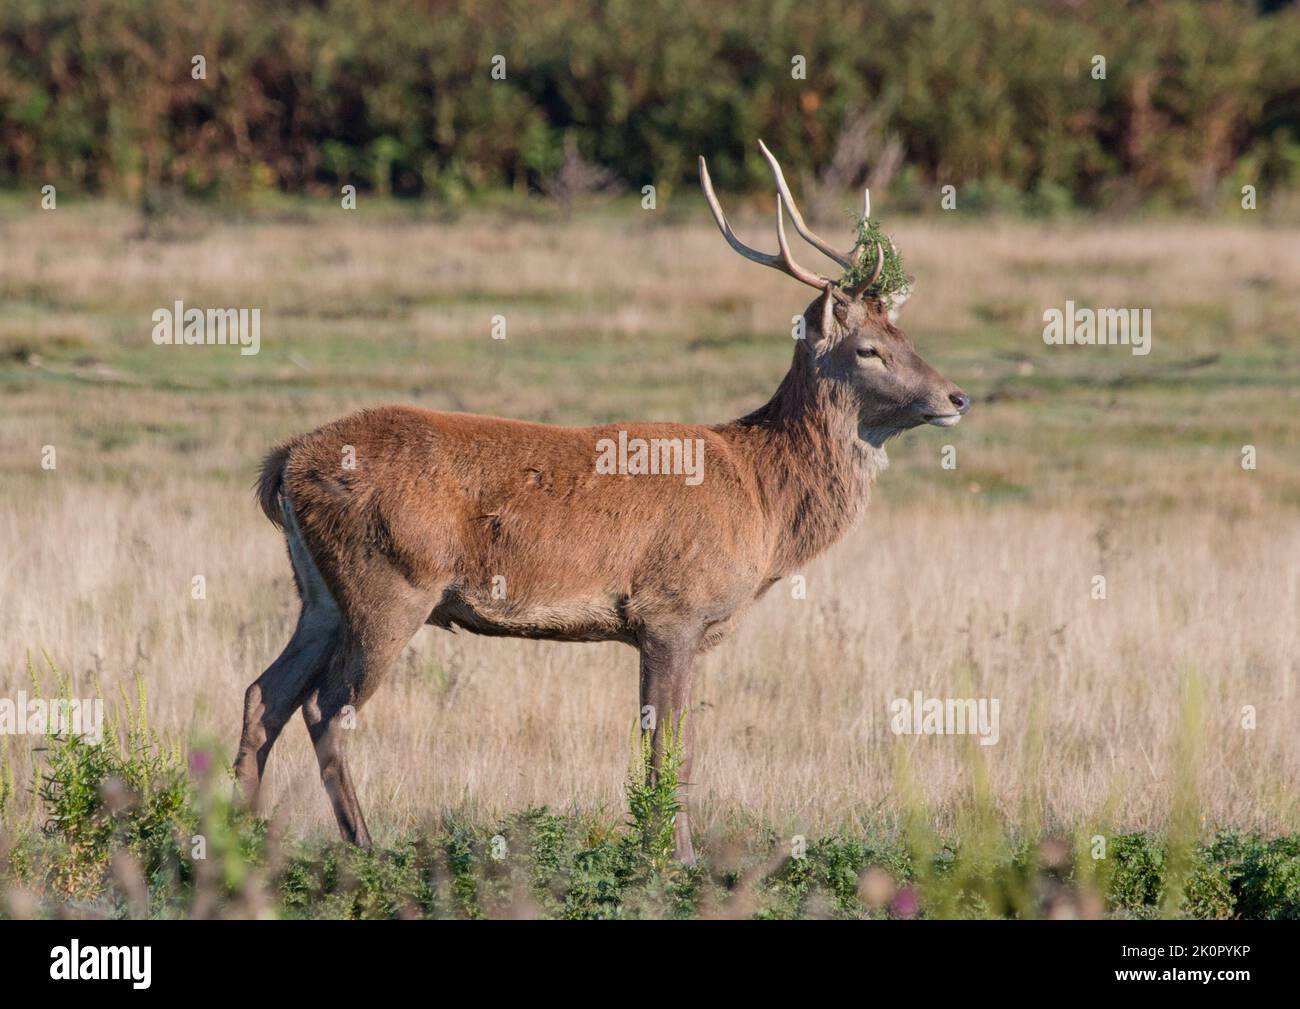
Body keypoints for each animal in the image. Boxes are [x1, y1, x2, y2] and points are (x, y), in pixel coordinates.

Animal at [233, 143, 972, 868]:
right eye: (869, 349)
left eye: (908, 338)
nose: (957, 396)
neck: (764, 502)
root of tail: (285, 463)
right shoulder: (671, 610)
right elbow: (669, 750)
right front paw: (675, 860)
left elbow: (666, 746)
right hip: (389, 581)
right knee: (326, 709)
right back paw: (365, 846)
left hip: (320, 595)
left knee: (264, 694)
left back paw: (239, 832)